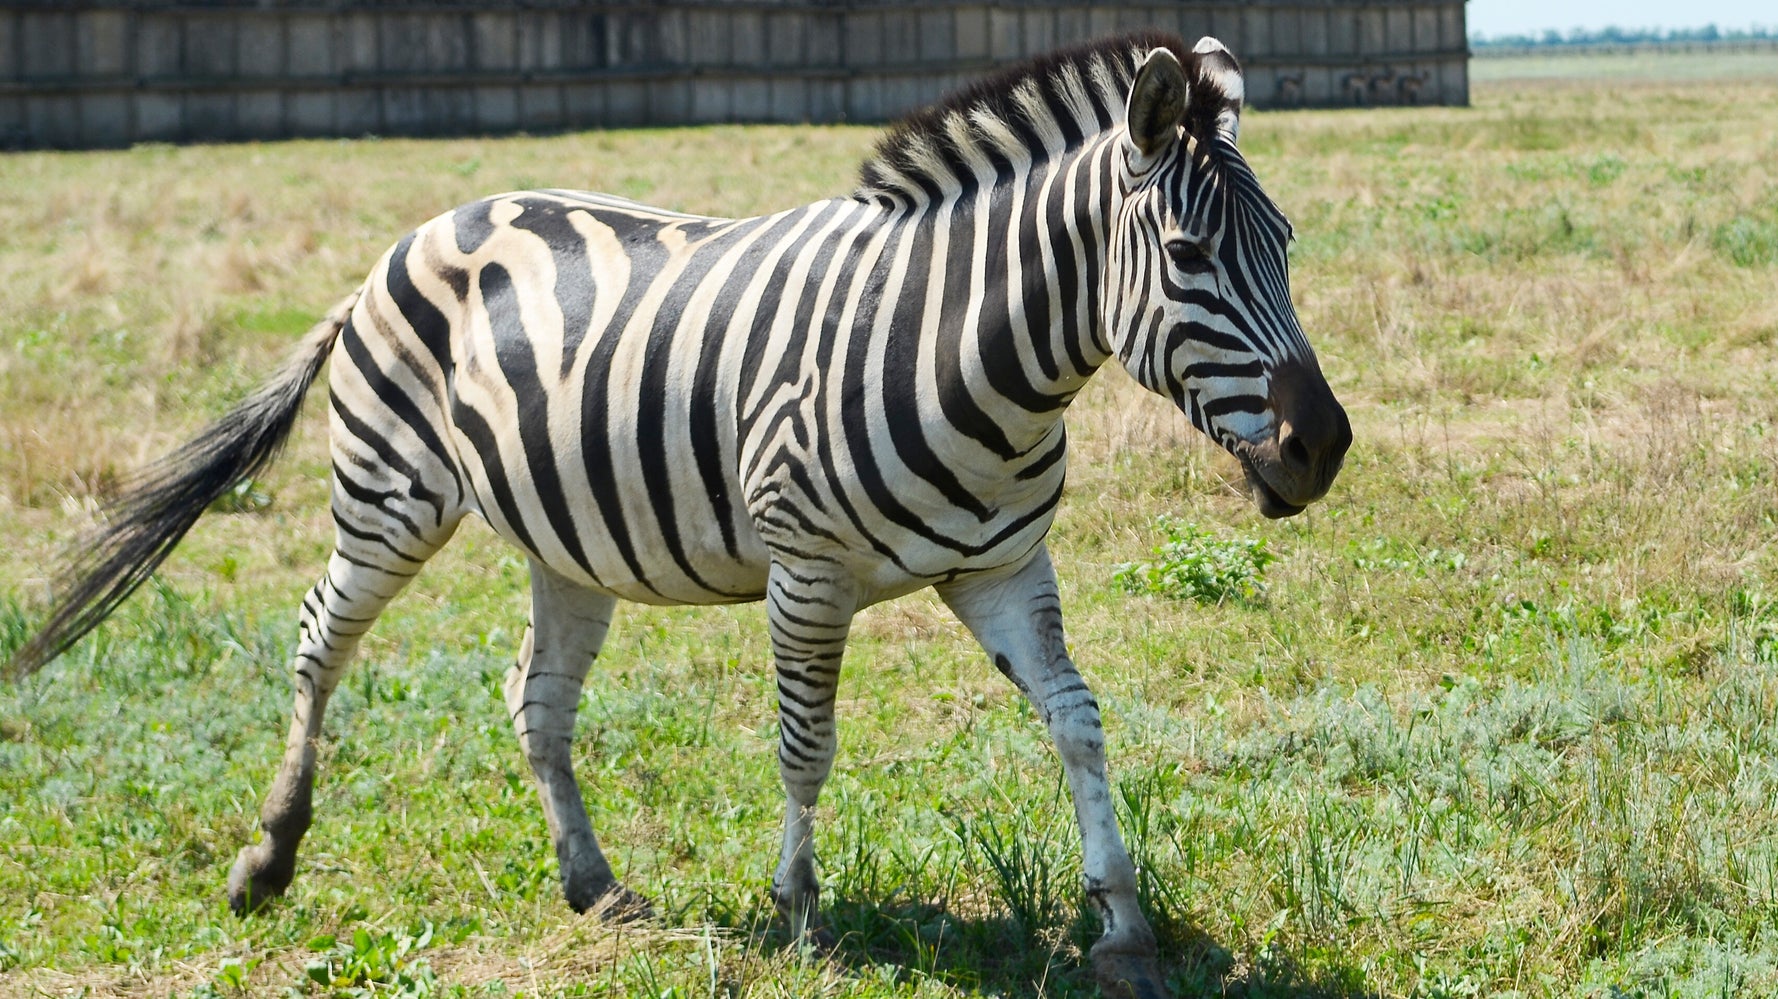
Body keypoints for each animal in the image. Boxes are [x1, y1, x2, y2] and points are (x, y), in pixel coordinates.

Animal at [6, 32, 1349, 998]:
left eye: (1285, 242)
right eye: (1186, 253)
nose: (1322, 448)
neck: (976, 358)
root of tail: (413, 235)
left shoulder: (1002, 567)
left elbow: (1077, 721)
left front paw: (1120, 922)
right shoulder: (805, 570)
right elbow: (805, 744)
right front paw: (800, 915)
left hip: (561, 540)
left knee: (535, 698)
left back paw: (592, 884)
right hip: (389, 496)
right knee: (316, 641)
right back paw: (267, 859)